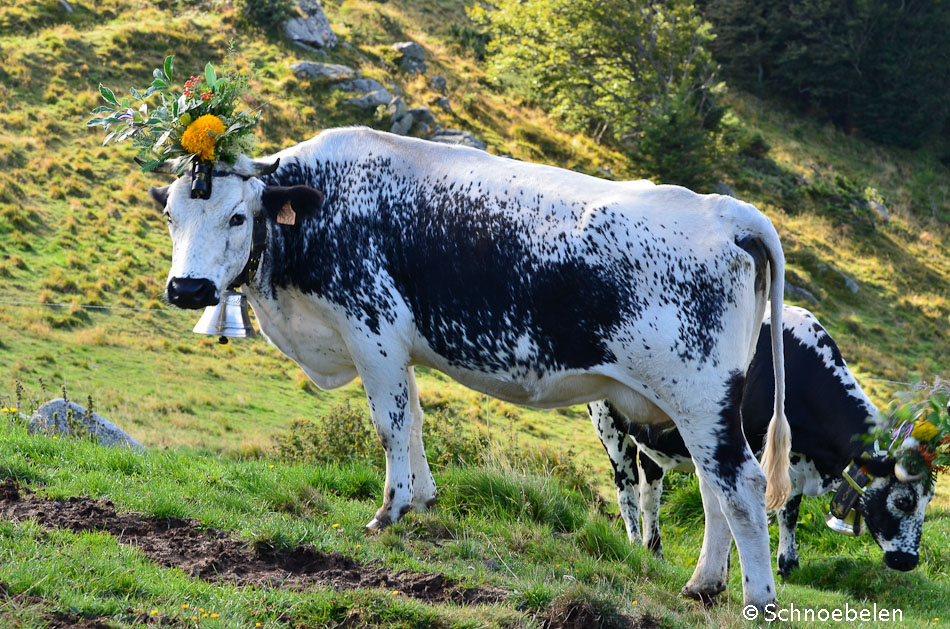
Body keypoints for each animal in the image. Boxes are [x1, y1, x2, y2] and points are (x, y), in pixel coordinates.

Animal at [147, 126, 788, 608]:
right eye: (172, 216)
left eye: (237, 216)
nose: (187, 288)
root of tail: (724, 211)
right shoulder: (394, 345)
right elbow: (412, 421)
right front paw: (422, 501)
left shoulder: (371, 330)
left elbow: (388, 426)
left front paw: (388, 511)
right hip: (696, 406)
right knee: (712, 489)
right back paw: (703, 584)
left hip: (700, 396)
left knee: (741, 486)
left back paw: (757, 599)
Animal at [592, 306, 940, 580]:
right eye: (903, 501)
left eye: (929, 500)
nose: (908, 561)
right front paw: (729, 566)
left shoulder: (793, 454)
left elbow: (790, 509)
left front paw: (788, 565)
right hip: (607, 422)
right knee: (625, 489)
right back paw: (638, 545)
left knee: (650, 488)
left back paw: (653, 550)